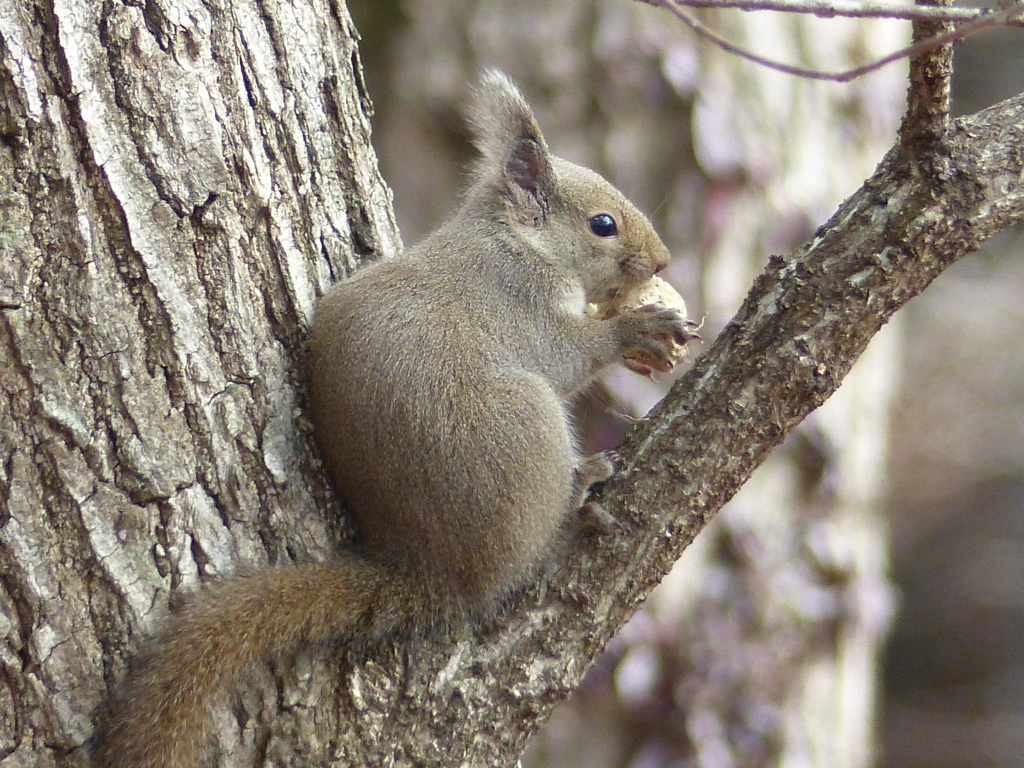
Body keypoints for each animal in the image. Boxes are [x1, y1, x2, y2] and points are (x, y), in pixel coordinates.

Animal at [92, 72, 692, 768]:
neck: (521, 240)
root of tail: (435, 571)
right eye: (603, 224)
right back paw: (577, 499)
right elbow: (569, 355)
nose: (663, 261)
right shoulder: (523, 301)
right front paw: (636, 331)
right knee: (527, 558)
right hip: (528, 425)